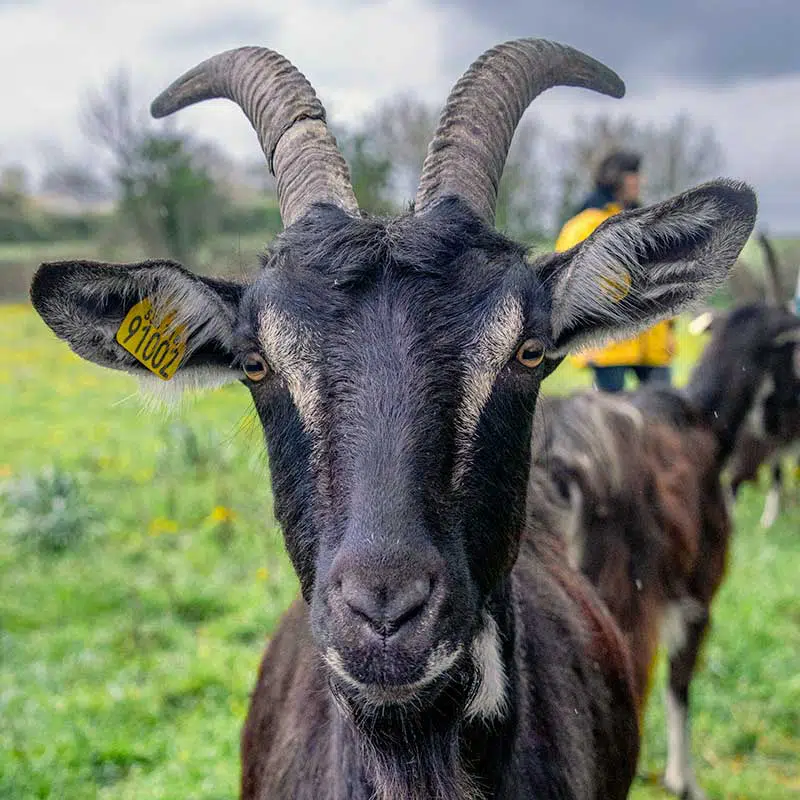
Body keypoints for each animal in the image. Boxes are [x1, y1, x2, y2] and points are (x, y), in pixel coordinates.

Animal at [527, 302, 800, 800]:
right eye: (793, 359)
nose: (788, 426)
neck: (705, 421)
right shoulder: (697, 592)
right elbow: (680, 682)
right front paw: (684, 781)